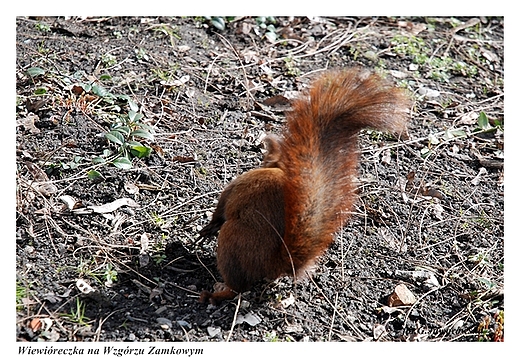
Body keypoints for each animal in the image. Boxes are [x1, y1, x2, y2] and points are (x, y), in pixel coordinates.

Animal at [199, 68, 410, 304]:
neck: (281, 169)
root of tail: (273, 265)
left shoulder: (237, 185)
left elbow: (221, 207)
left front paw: (208, 228)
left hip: (231, 240)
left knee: (238, 287)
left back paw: (215, 293)